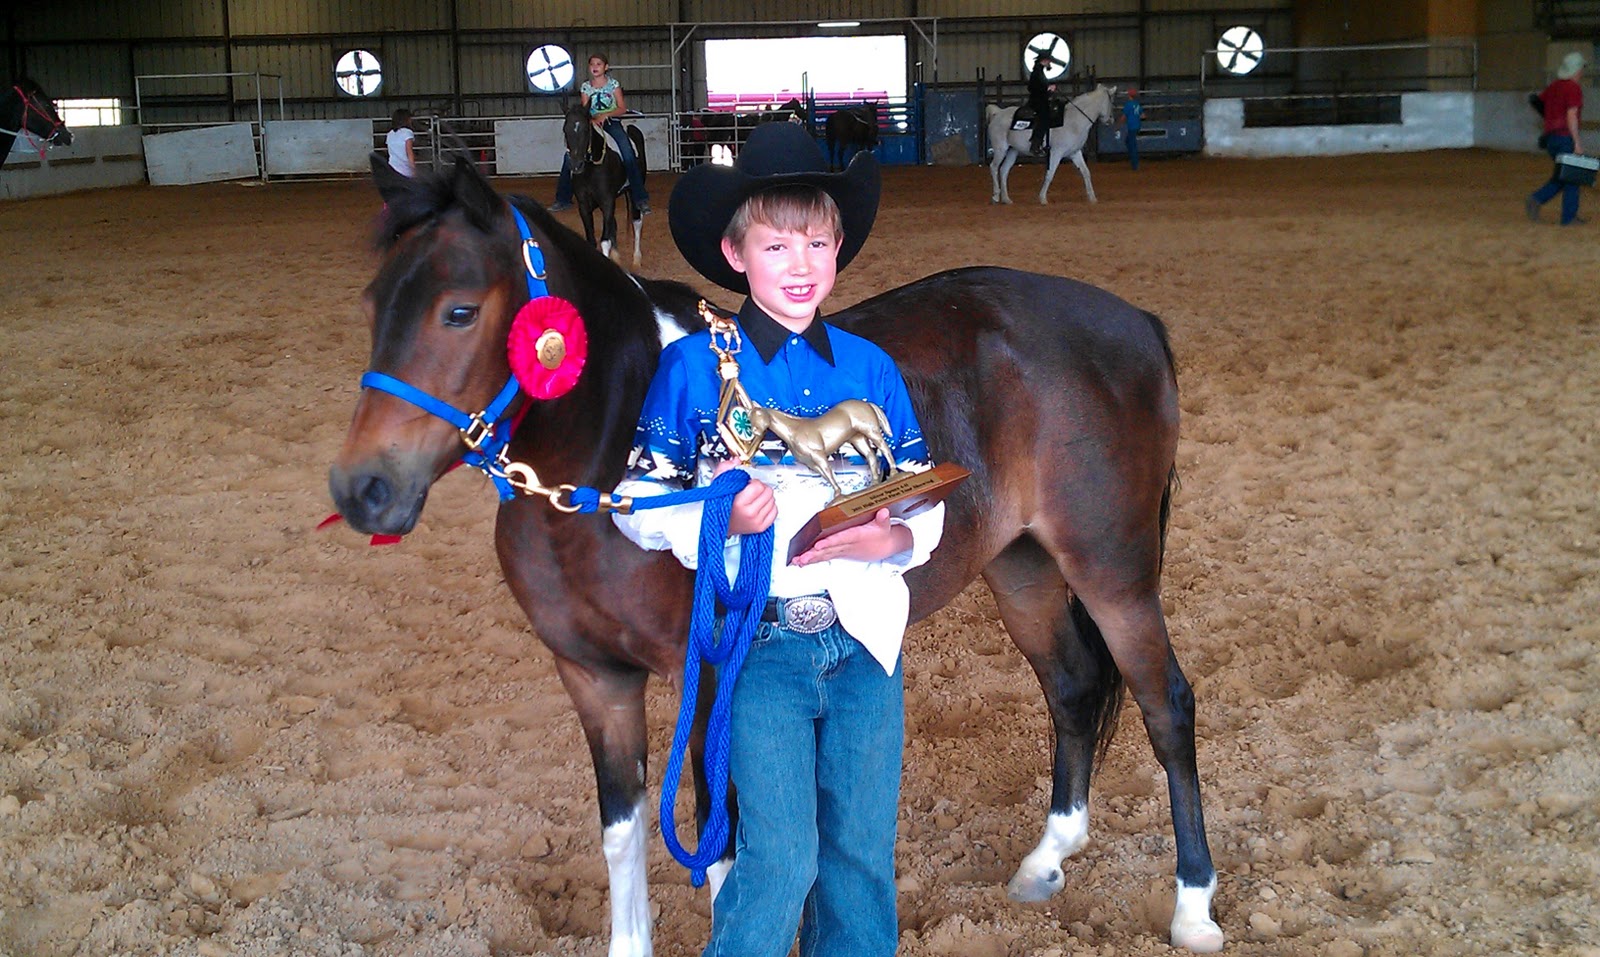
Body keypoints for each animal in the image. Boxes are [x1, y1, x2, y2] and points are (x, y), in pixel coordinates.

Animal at [329, 156, 1225, 955]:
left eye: (457, 310)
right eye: (372, 302)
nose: (363, 489)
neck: (607, 475)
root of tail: (1136, 322)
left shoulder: (717, 675)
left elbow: (726, 843)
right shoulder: (594, 679)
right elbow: (622, 834)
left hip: (1111, 570)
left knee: (1166, 705)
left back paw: (1193, 906)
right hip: (1024, 567)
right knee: (1071, 686)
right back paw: (1046, 860)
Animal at [562, 102, 645, 267]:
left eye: (586, 129)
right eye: (565, 129)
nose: (576, 165)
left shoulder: (607, 201)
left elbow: (605, 241)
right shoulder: (584, 204)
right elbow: (592, 238)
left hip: (634, 191)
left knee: (637, 221)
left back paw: (637, 259)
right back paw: (617, 255)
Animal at [987, 84, 1117, 206]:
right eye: (1111, 101)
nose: (1111, 120)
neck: (1074, 121)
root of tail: (998, 113)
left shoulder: (1075, 152)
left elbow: (1086, 172)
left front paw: (1092, 198)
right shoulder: (1056, 153)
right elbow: (1050, 174)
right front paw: (1043, 198)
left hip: (1012, 151)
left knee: (1004, 170)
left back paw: (1006, 199)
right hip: (1000, 149)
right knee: (994, 167)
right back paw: (995, 197)